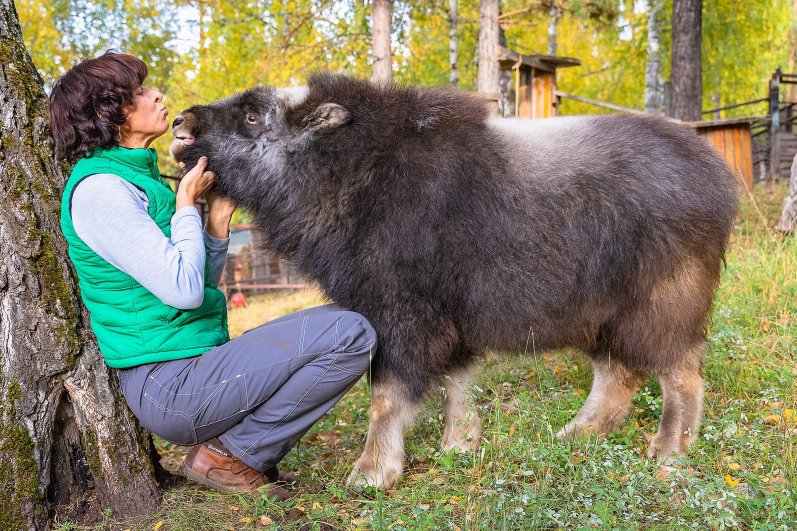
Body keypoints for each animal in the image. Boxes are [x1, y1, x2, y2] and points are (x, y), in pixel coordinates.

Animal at [173, 75, 740, 490]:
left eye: (252, 114)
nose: (180, 123)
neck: (349, 168)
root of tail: (715, 174)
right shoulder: (447, 319)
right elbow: (456, 381)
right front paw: (459, 446)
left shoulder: (400, 316)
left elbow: (386, 396)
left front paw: (371, 473)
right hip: (602, 316)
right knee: (620, 374)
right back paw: (573, 435)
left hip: (660, 302)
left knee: (680, 372)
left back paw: (668, 451)